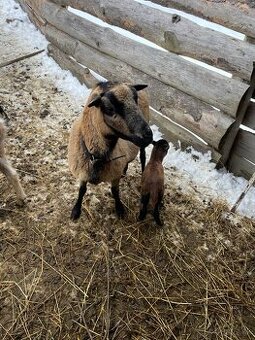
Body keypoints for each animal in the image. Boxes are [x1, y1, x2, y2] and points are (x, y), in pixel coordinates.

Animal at [66, 82, 152, 220]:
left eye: (135, 100)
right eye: (109, 109)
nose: (148, 135)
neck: (97, 156)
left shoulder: (114, 174)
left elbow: (115, 191)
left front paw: (120, 209)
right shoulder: (83, 171)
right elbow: (81, 190)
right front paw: (76, 211)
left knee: (143, 157)